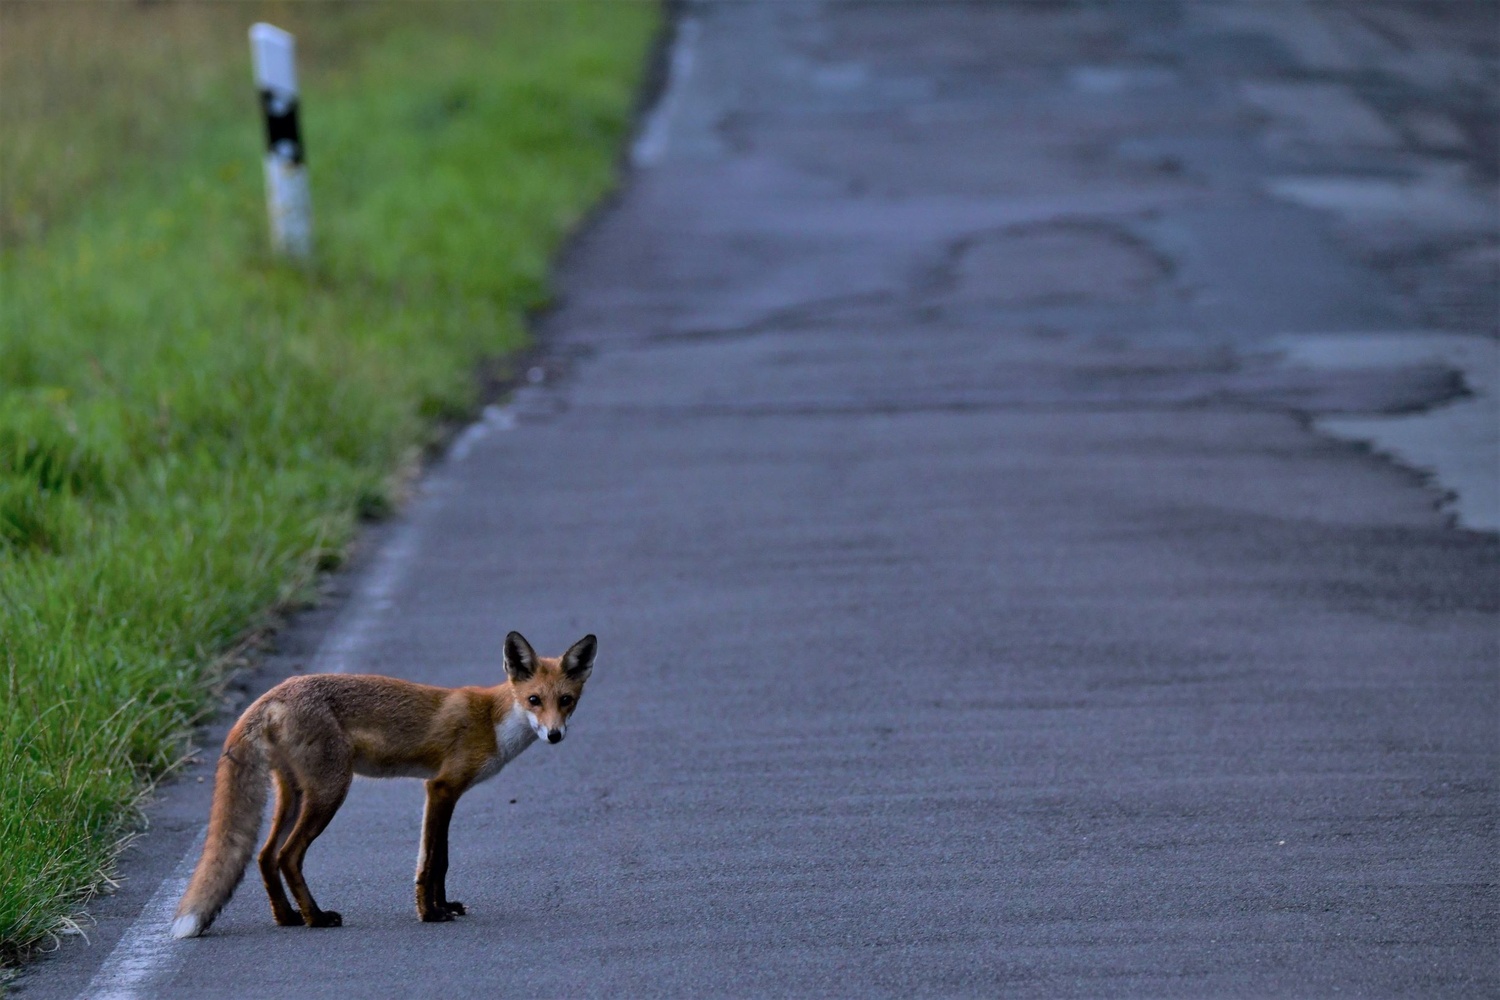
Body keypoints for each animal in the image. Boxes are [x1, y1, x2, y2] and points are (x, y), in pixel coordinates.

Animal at [171, 632, 597, 941]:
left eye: (566, 701)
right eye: (534, 699)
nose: (555, 735)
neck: (493, 721)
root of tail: (272, 695)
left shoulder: (440, 791)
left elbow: (436, 859)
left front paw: (442, 907)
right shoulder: (442, 787)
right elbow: (435, 861)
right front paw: (430, 914)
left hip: (294, 795)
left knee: (264, 855)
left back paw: (287, 917)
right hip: (330, 791)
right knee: (288, 856)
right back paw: (315, 918)